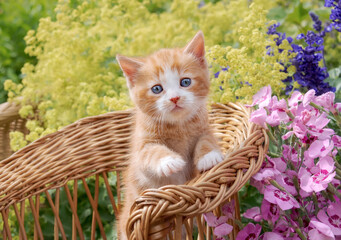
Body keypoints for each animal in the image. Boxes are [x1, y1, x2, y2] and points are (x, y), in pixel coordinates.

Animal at [117, 31, 223, 240]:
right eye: (157, 89)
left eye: (185, 82)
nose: (175, 98)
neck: (178, 127)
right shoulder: (141, 153)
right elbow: (151, 152)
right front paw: (169, 161)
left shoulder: (204, 127)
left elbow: (207, 139)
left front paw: (209, 157)